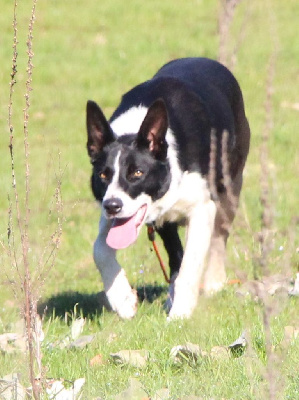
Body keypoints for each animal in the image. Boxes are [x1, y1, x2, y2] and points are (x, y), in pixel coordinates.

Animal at [86, 57, 251, 320]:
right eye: (103, 175)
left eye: (137, 173)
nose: (112, 206)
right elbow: (100, 249)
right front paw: (123, 300)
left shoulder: (202, 208)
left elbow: (190, 266)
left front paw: (179, 316)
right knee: (175, 254)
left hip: (230, 185)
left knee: (219, 236)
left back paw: (213, 283)